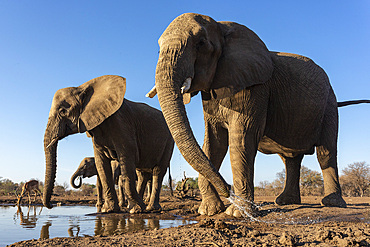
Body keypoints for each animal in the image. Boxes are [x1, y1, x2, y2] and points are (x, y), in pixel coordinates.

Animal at [43, 75, 175, 212]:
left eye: (63, 111)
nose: (51, 205)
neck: (82, 87)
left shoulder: (122, 124)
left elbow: (126, 159)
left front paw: (135, 210)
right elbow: (102, 163)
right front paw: (109, 210)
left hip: (169, 140)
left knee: (158, 171)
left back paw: (150, 208)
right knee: (142, 174)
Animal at [147, 13, 368, 217]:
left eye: (201, 43)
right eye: (158, 49)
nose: (228, 189)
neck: (223, 28)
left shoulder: (256, 89)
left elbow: (241, 141)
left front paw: (238, 213)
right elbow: (214, 142)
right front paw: (208, 211)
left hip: (328, 105)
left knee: (326, 152)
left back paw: (331, 203)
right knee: (290, 158)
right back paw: (285, 202)